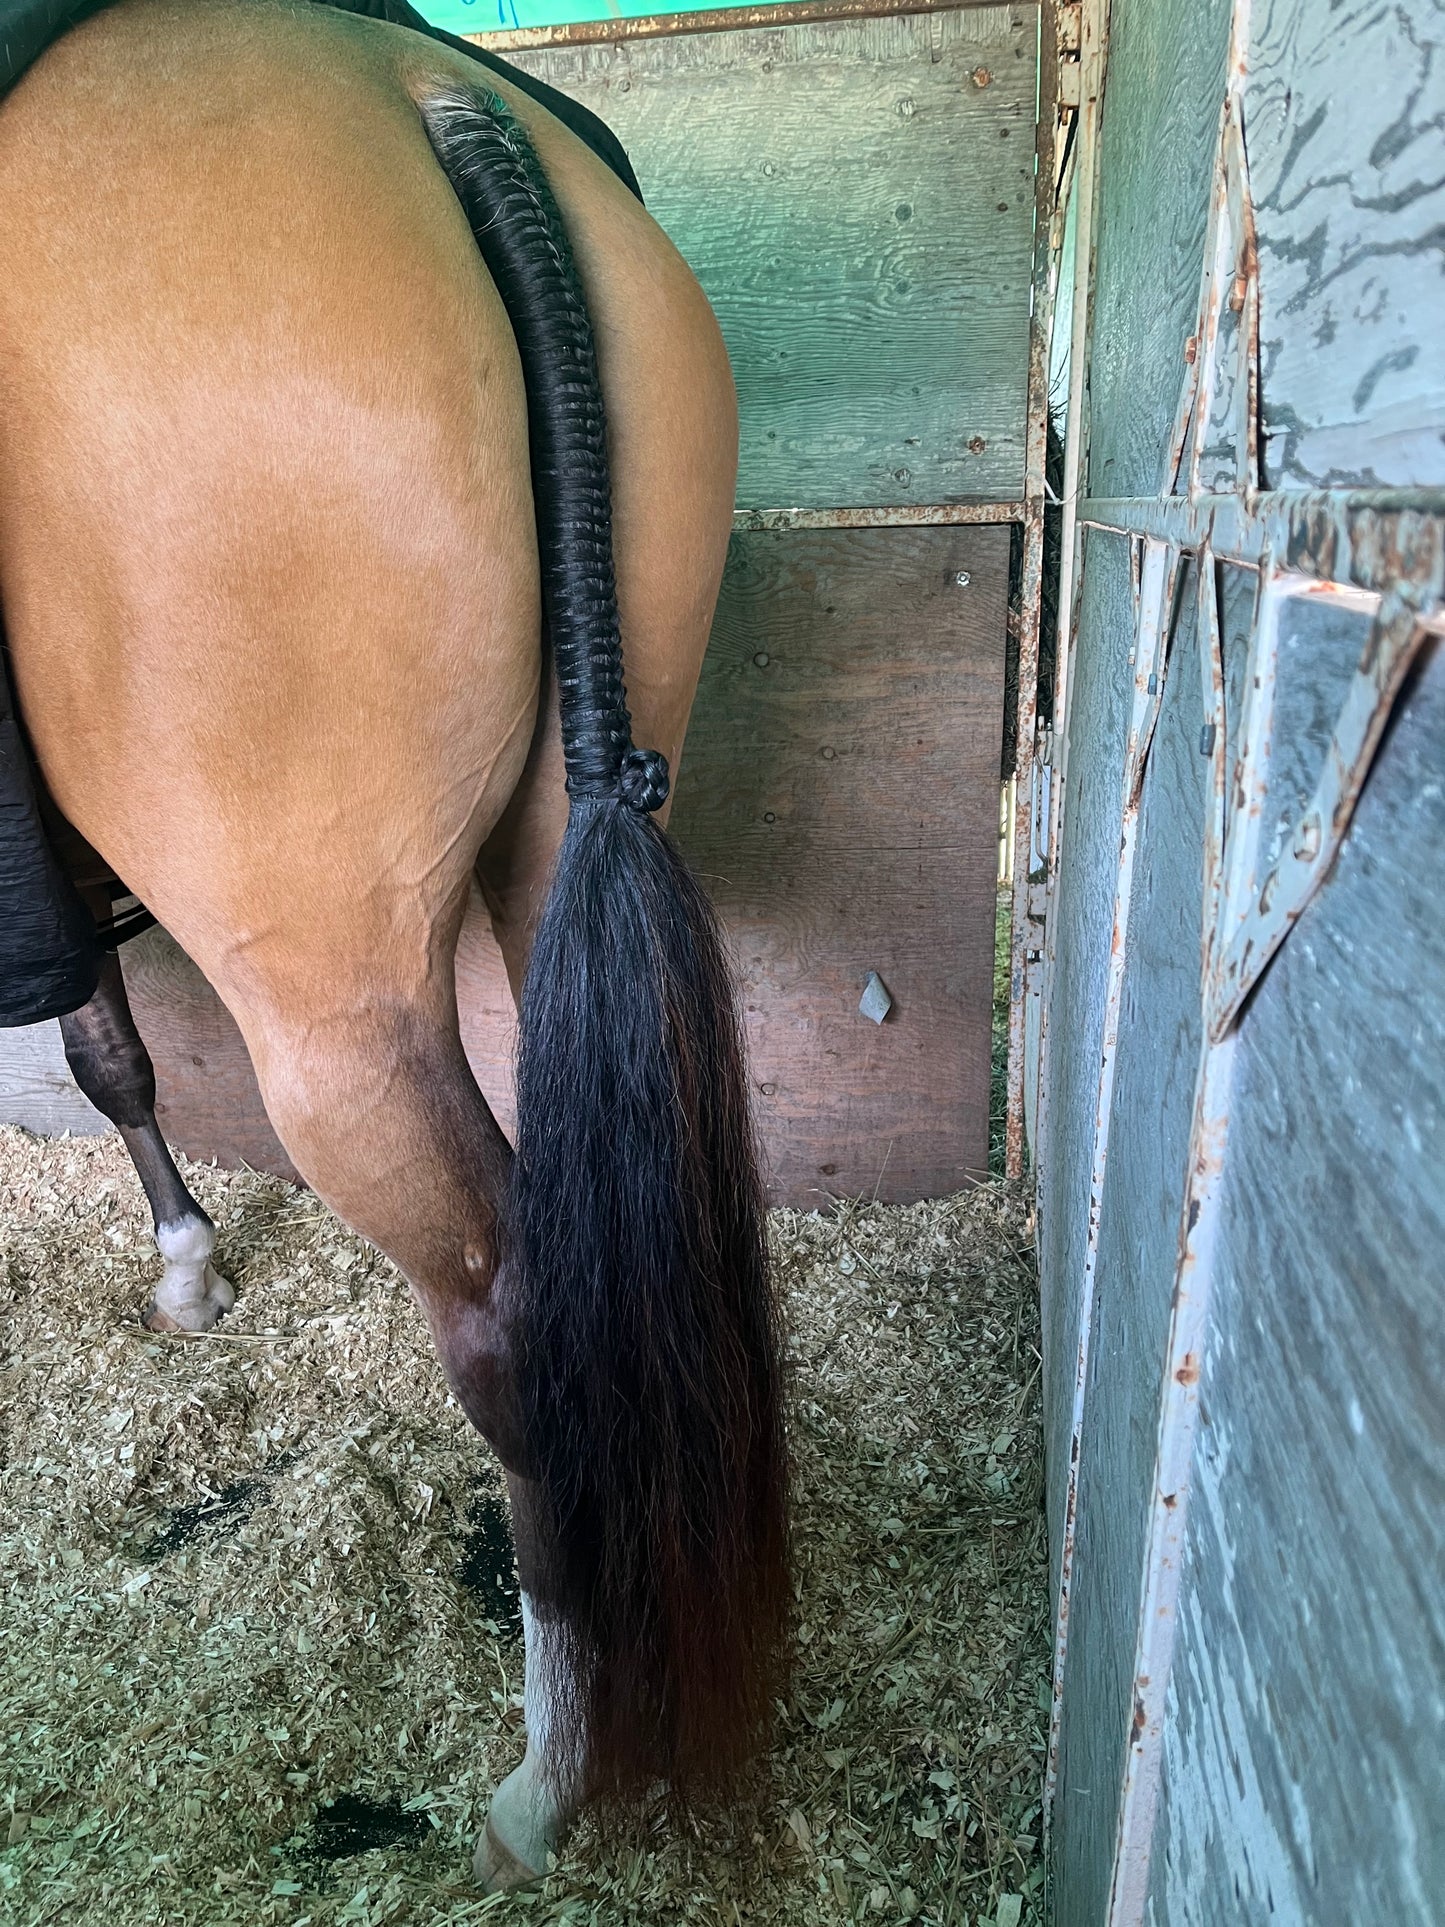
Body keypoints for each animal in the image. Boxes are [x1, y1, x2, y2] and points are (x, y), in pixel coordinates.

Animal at [0, 0, 790, 1888]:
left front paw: (184, 1263)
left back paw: (549, 1775)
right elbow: (108, 1041)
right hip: (571, 835)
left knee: (510, 1313)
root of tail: (421, 92)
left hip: (332, 998)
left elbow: (92, 1037)